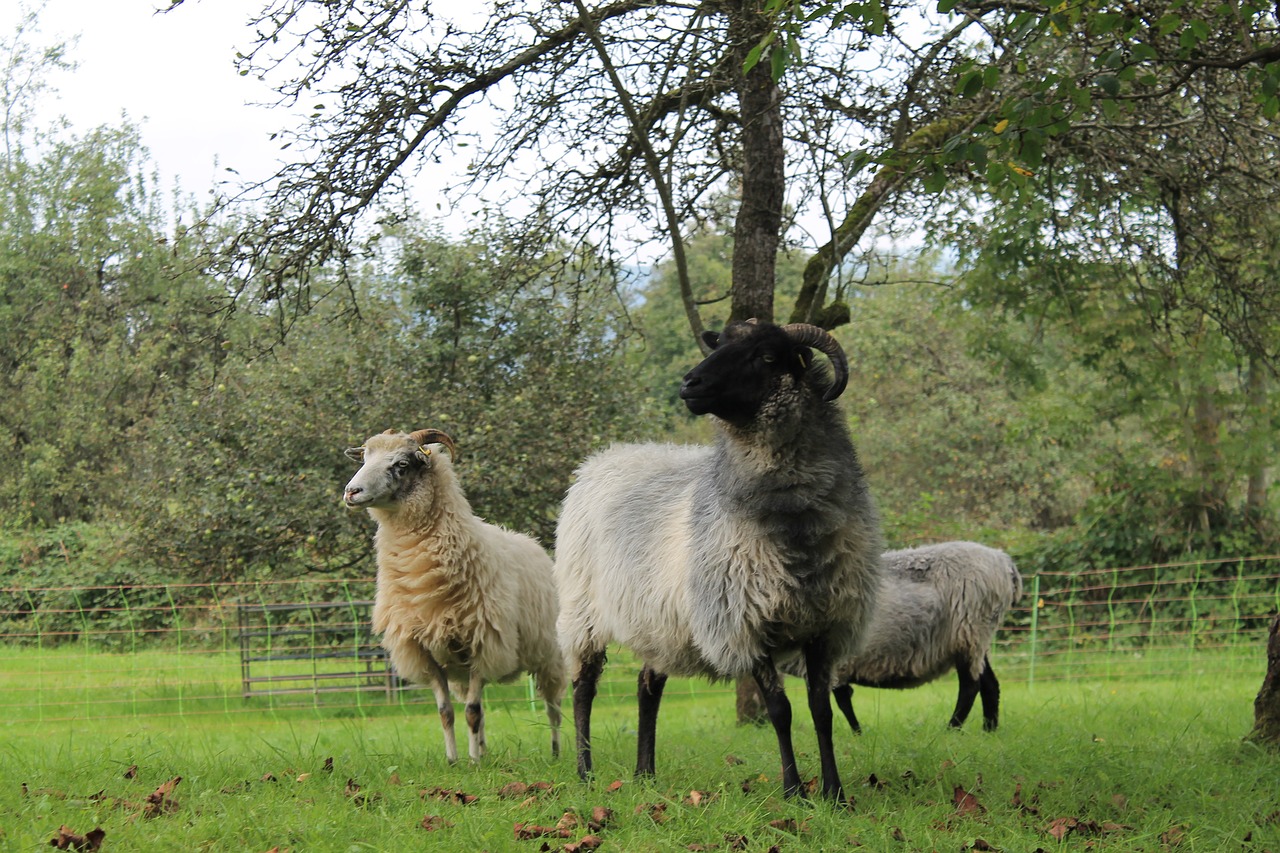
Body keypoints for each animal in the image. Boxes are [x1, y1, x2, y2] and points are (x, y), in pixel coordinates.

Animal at [343, 427, 563, 758]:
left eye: (402, 464)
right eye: (365, 458)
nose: (351, 492)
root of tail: (530, 541)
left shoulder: (483, 644)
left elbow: (472, 712)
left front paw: (471, 761)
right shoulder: (423, 652)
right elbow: (446, 713)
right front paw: (453, 760)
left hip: (549, 655)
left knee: (553, 708)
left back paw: (555, 752)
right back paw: (483, 750)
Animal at [555, 317, 885, 799]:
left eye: (767, 356)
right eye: (720, 345)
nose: (689, 384)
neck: (795, 526)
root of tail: (603, 458)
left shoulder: (825, 625)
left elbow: (820, 712)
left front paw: (835, 794)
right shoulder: (747, 620)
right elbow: (781, 711)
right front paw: (794, 792)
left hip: (658, 621)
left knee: (647, 687)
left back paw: (645, 773)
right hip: (583, 612)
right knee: (583, 690)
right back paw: (585, 773)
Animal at [824, 537, 1024, 732]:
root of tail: (1003, 561)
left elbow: (838, 702)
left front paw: (857, 732)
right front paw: (858, 733)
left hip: (968, 631)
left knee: (970, 686)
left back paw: (951, 730)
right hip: (977, 640)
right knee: (990, 684)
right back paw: (989, 731)